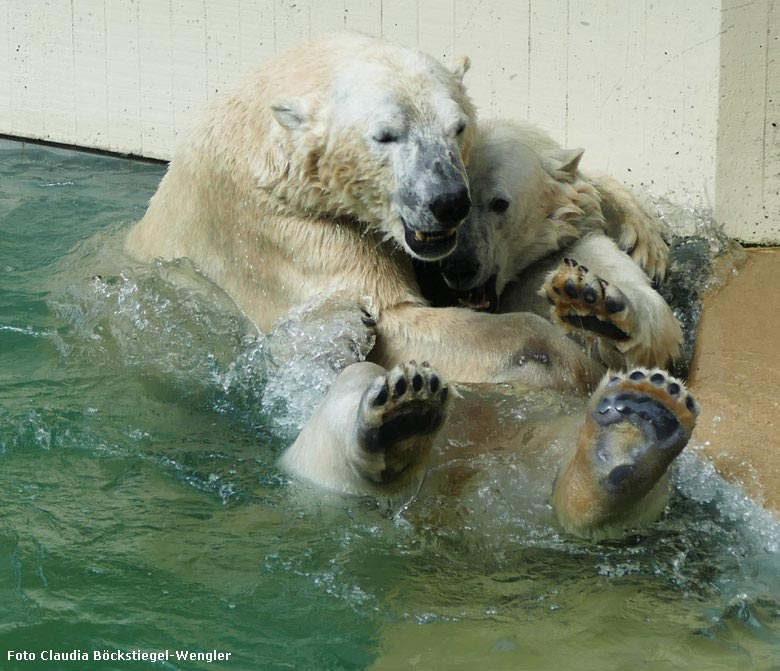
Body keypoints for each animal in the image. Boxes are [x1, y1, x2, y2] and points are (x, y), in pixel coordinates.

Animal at [125, 35, 696, 540]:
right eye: (386, 135)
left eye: (457, 127)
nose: (448, 202)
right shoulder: (286, 233)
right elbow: (396, 319)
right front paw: (569, 359)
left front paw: (604, 297)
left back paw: (629, 439)